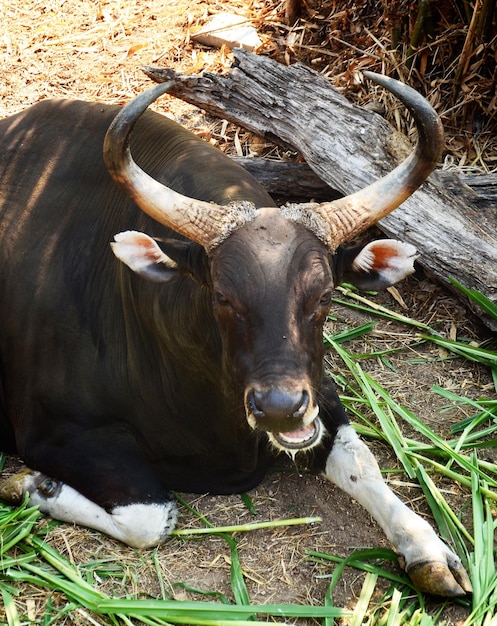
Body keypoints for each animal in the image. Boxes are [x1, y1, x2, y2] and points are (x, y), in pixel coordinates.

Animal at [0, 73, 468, 596]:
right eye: (223, 297)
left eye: (325, 294)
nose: (280, 408)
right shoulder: (53, 435)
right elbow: (150, 517)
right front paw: (34, 485)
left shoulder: (318, 391)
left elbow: (359, 459)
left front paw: (427, 549)